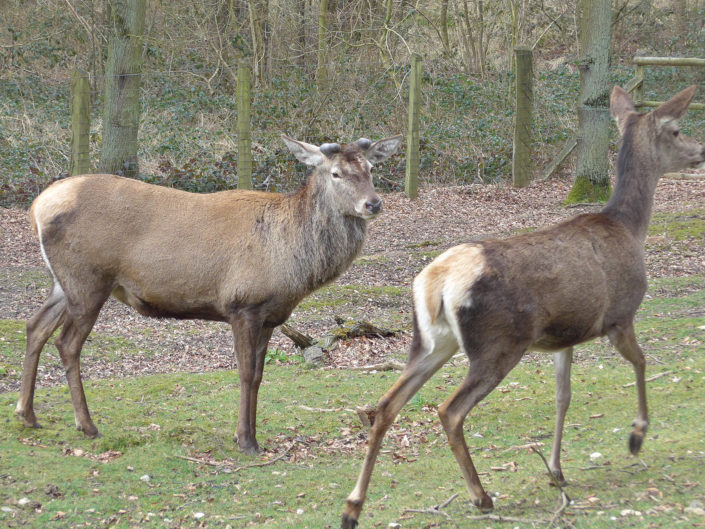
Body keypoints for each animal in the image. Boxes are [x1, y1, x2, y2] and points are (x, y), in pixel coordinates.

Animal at [15, 133, 402, 454]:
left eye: (371, 168)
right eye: (336, 173)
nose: (373, 204)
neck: (293, 261)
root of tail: (36, 207)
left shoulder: (270, 316)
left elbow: (259, 376)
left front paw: (246, 434)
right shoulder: (242, 304)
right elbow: (245, 373)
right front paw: (246, 441)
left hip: (63, 283)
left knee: (35, 326)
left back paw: (28, 414)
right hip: (88, 280)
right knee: (66, 343)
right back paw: (87, 425)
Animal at [341, 86, 705, 528]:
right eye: (677, 130)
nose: (700, 150)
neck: (630, 229)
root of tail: (437, 280)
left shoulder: (566, 335)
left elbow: (563, 395)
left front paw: (556, 470)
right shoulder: (620, 314)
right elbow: (641, 362)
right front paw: (637, 435)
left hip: (431, 341)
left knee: (386, 404)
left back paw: (353, 506)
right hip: (498, 343)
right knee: (449, 410)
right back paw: (481, 496)